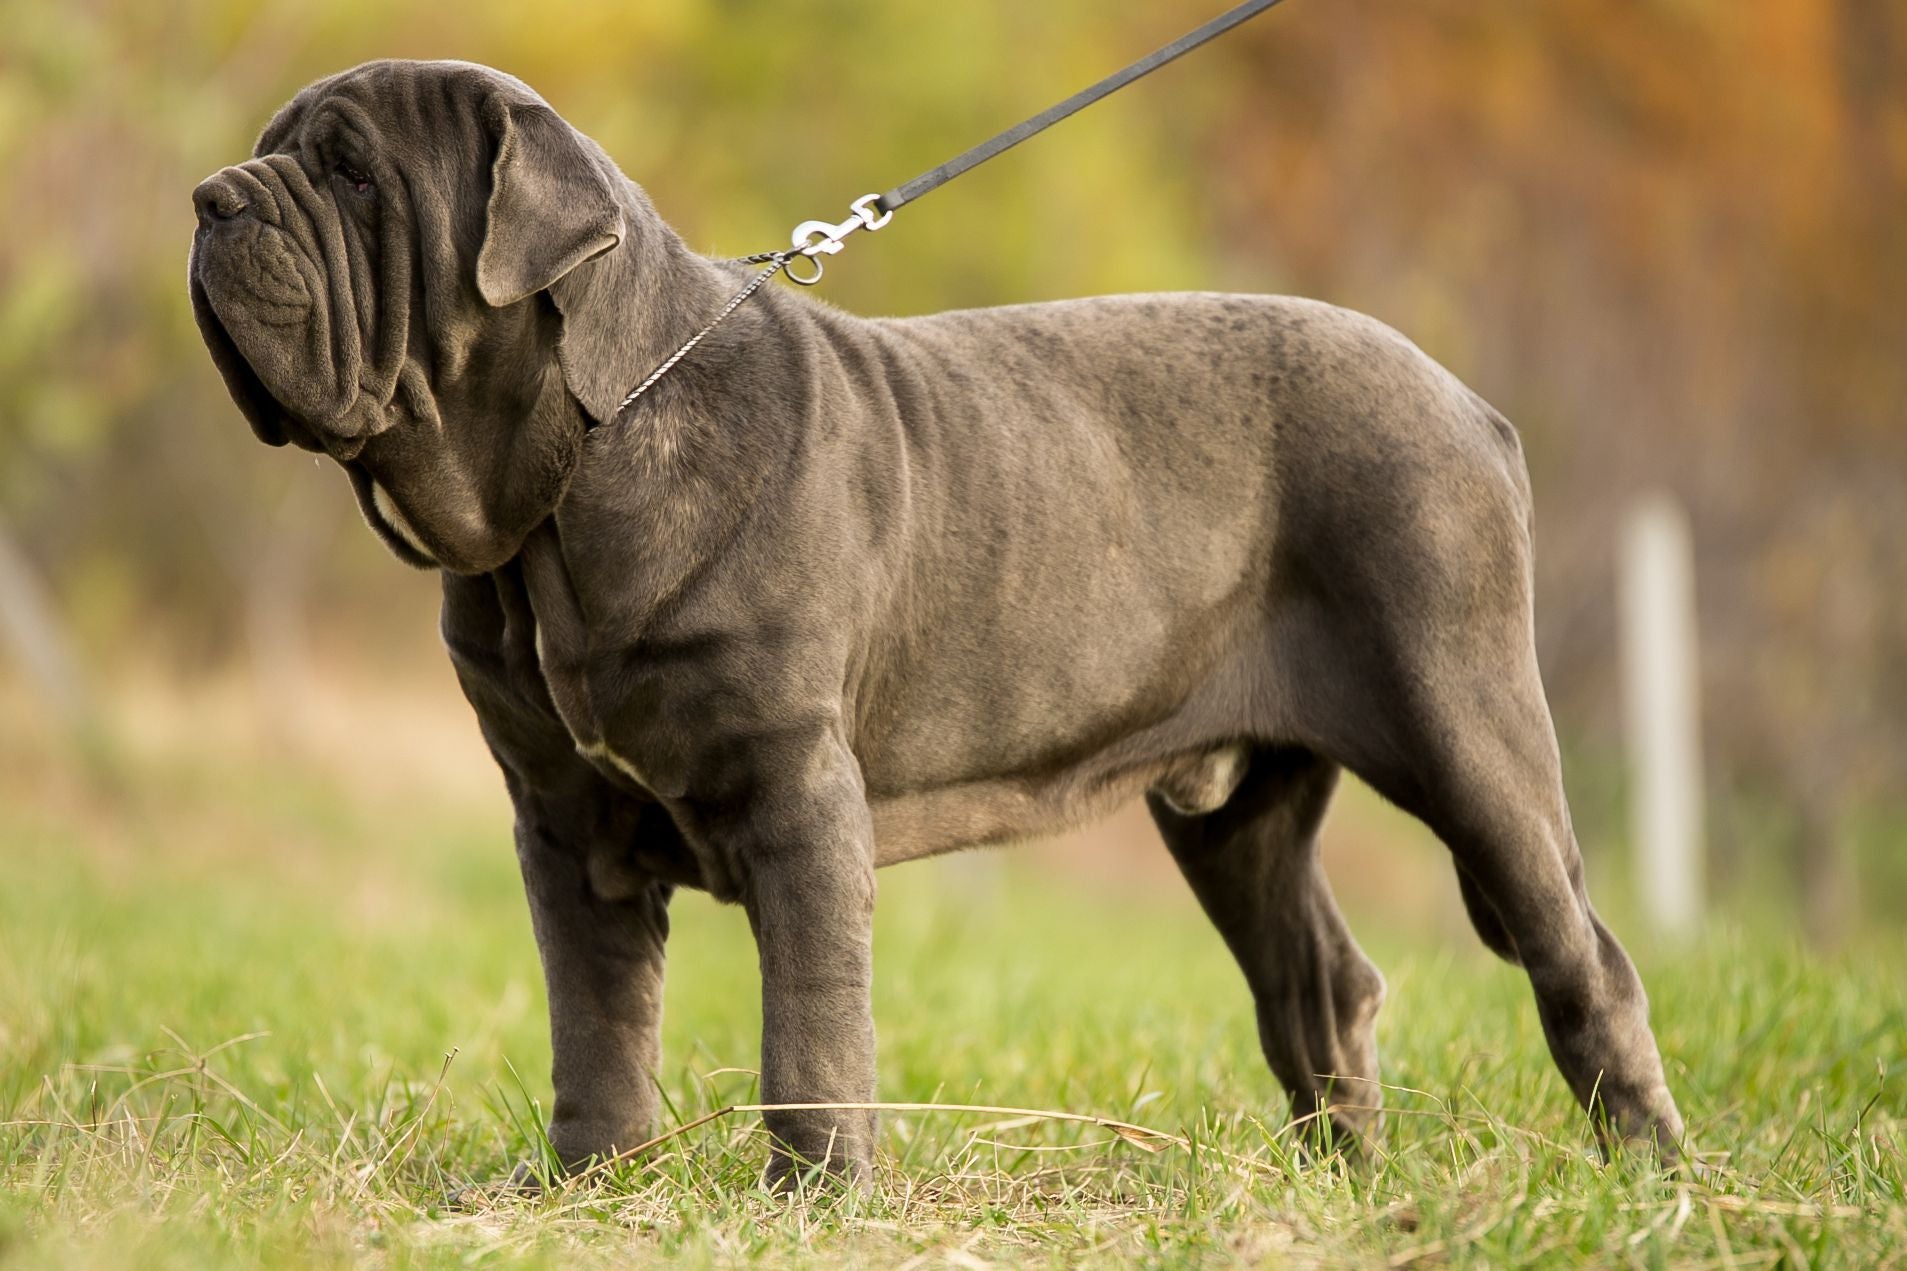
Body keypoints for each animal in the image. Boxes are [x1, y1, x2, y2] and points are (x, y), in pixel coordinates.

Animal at [189, 62, 1685, 1190]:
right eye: (270, 157)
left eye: (352, 173)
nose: (209, 198)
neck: (558, 498)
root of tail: (1466, 401)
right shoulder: (563, 821)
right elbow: (598, 1017)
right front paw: (587, 1177)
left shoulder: (795, 792)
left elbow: (809, 1020)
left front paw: (813, 1193)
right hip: (1234, 810)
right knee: (1316, 979)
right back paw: (1344, 1180)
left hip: (1466, 731)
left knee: (1584, 958)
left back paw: (1653, 1174)